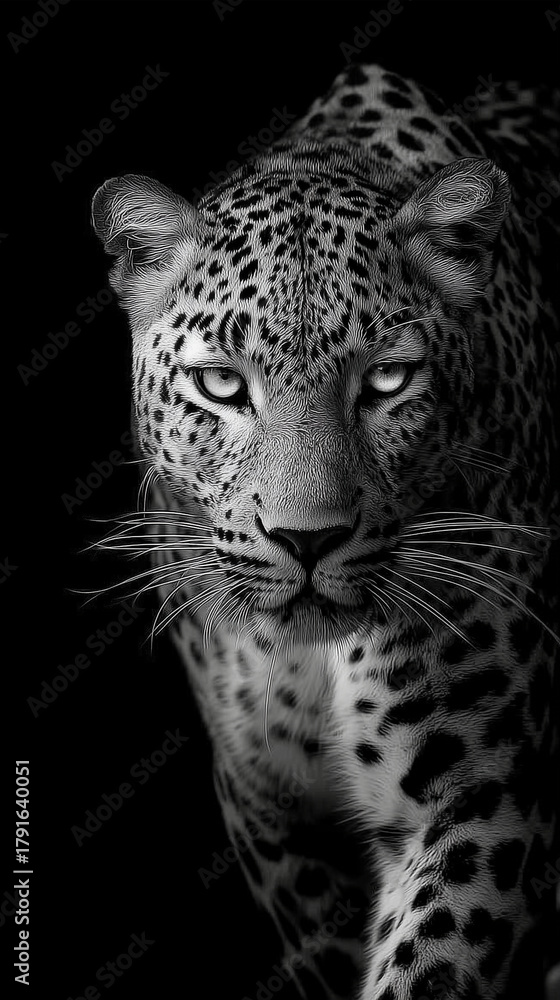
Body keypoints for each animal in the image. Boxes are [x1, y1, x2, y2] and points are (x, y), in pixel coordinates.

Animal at [91, 63, 560, 1000]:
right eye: (222, 386)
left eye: (386, 381)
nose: (306, 540)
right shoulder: (277, 825)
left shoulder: (483, 797)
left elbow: (428, 968)